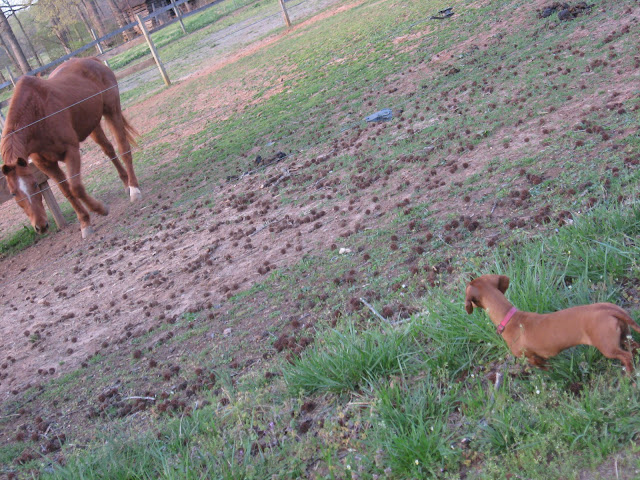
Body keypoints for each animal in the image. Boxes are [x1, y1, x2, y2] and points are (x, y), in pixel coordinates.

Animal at [0, 58, 141, 238]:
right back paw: (126, 184)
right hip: (93, 125)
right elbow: (67, 191)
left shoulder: (71, 151)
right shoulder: (46, 165)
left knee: (124, 149)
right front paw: (84, 222)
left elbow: (76, 187)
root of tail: (93, 60)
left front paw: (101, 209)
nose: (41, 226)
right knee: (109, 149)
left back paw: (134, 189)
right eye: (13, 193)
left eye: (35, 185)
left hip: (112, 111)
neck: (37, 116)